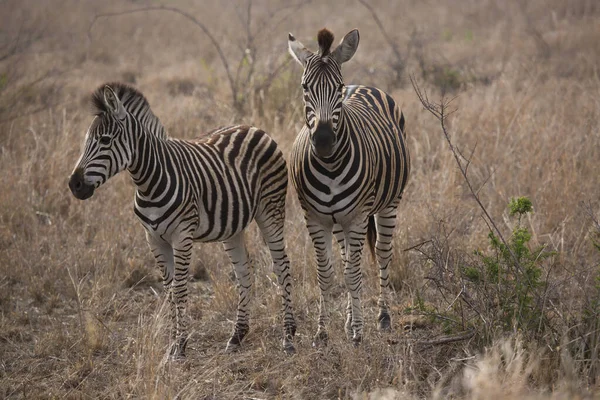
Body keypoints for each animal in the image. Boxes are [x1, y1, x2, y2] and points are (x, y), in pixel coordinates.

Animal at [68, 83, 298, 358]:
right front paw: (172, 342)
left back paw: (288, 337)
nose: (74, 184)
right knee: (244, 270)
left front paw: (180, 346)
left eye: (104, 140)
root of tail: (254, 128)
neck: (149, 181)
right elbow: (168, 291)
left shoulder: (182, 235)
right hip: (233, 226)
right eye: (85, 141)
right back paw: (237, 336)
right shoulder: (153, 239)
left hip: (271, 209)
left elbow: (179, 290)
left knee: (282, 266)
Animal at [288, 29, 410, 346]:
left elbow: (354, 274)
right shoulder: (315, 219)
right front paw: (322, 331)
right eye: (305, 87)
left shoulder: (356, 217)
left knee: (382, 252)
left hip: (389, 204)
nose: (323, 140)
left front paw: (357, 332)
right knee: (345, 261)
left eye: (338, 87)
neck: (330, 165)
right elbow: (326, 274)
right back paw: (346, 320)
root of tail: (363, 85)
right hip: (339, 221)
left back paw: (381, 318)